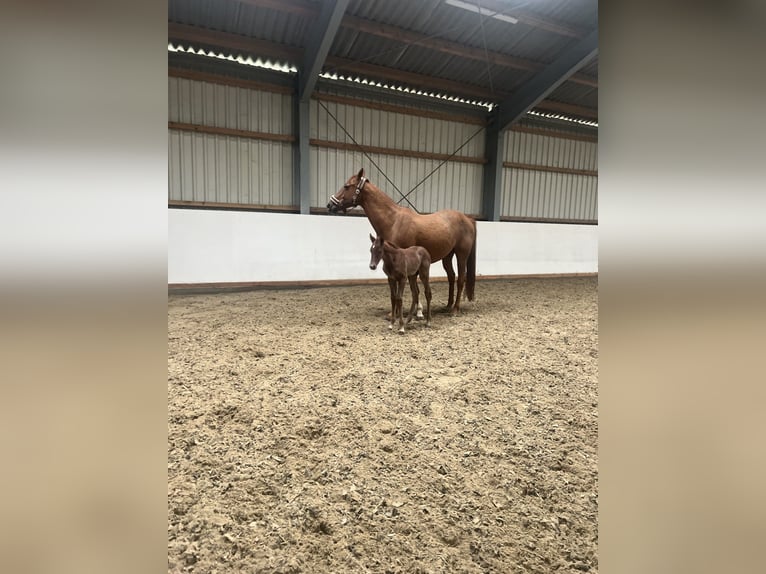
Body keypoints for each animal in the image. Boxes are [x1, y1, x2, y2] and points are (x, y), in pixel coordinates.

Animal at [327, 168, 477, 314]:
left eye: (346, 186)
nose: (330, 205)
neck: (393, 221)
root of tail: (467, 219)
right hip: (447, 256)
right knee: (451, 277)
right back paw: (448, 305)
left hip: (461, 255)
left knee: (460, 279)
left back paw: (455, 309)